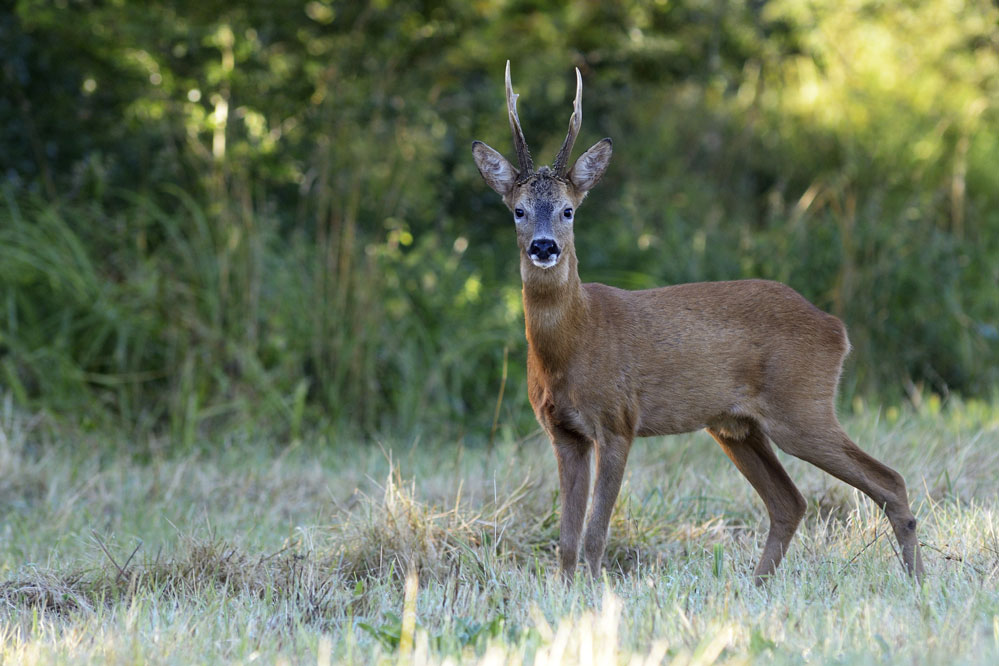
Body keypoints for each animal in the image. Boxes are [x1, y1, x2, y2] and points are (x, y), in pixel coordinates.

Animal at [472, 62, 924, 580]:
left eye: (569, 210)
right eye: (518, 210)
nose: (544, 246)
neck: (574, 343)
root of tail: (837, 329)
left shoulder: (618, 421)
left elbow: (593, 536)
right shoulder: (563, 433)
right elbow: (565, 543)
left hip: (802, 407)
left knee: (888, 479)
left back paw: (916, 581)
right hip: (735, 426)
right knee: (789, 501)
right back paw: (758, 585)